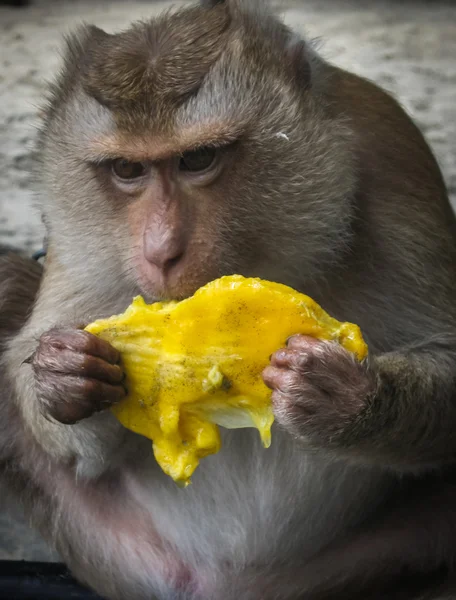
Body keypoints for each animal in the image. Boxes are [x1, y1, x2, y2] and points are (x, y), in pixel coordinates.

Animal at [0, 0, 456, 596]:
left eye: (198, 160)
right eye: (127, 169)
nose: (161, 251)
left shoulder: (393, 163)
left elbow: (446, 352)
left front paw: (347, 398)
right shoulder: (71, 220)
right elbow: (64, 419)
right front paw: (65, 374)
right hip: (119, 559)